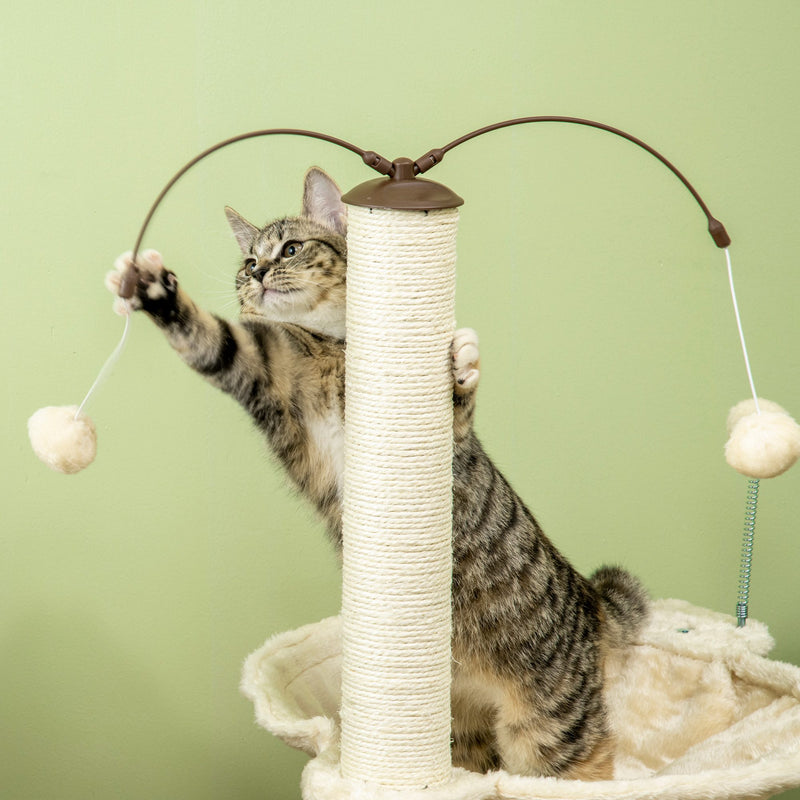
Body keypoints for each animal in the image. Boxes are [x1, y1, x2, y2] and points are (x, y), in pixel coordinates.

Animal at [106, 167, 648, 776]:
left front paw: (462, 364)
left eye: (291, 248)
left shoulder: (444, 438)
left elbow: (456, 408)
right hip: (466, 736)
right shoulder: (268, 373)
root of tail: (590, 599)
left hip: (550, 733)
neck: (334, 348)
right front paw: (156, 293)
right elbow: (213, 338)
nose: (260, 272)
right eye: (249, 260)